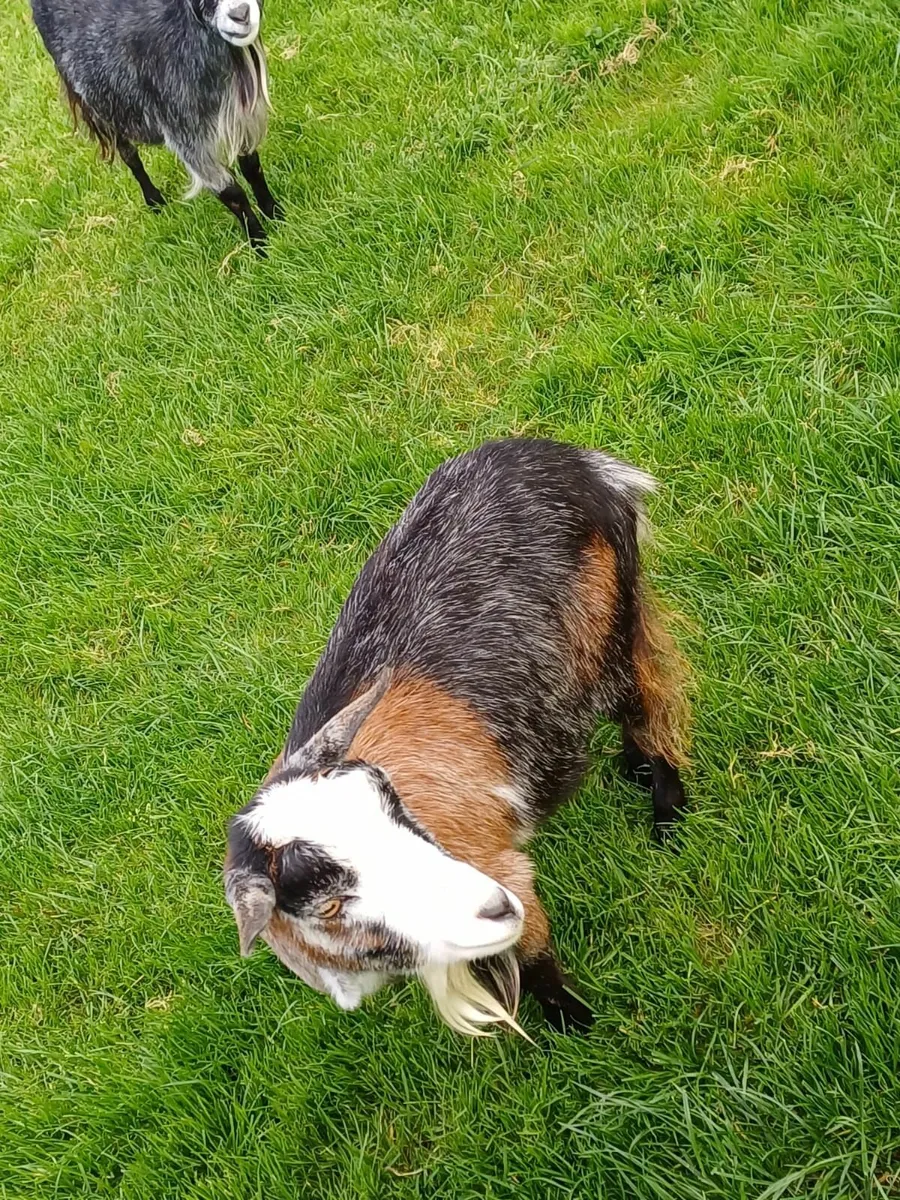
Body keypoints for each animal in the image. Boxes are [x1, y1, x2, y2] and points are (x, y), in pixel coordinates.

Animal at [31, 0, 280, 250]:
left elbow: (252, 167)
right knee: (128, 153)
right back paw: (154, 201)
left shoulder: (242, 116)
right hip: (100, 102)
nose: (241, 14)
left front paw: (276, 215)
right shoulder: (183, 130)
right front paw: (261, 245)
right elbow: (231, 193)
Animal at [225, 438, 690, 1035]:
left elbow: (534, 958)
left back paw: (667, 817)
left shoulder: (497, 865)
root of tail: (578, 464)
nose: (494, 907)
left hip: (605, 627)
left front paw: (576, 1025)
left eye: (397, 811)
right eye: (327, 904)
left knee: (650, 703)